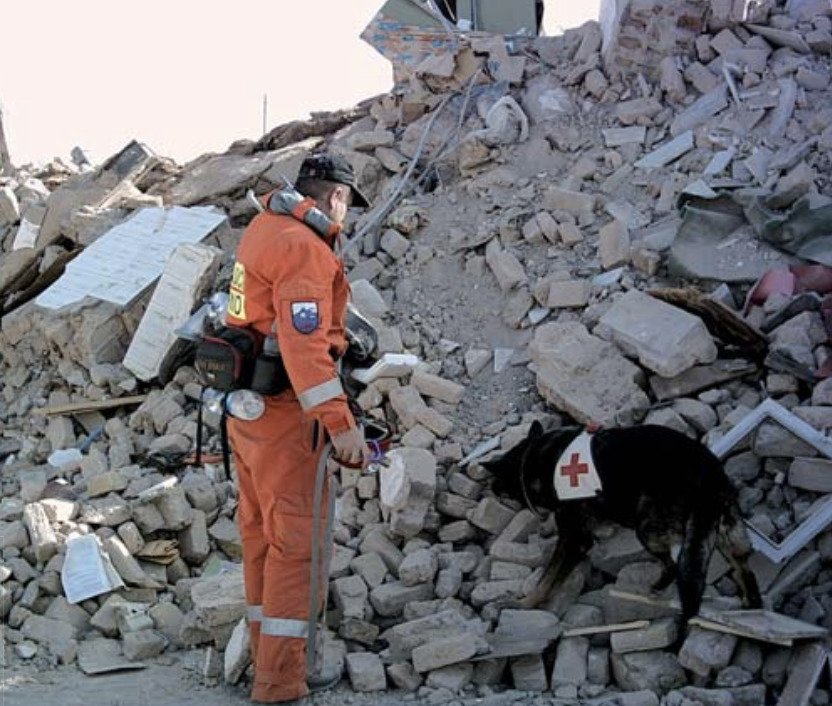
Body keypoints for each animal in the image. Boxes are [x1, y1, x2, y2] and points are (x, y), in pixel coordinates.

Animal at [480, 418, 760, 620]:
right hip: (728, 532)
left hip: (649, 530)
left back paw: (657, 588)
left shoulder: (574, 540)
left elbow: (546, 580)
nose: (490, 488)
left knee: (672, 566)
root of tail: (708, 475)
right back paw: (751, 603)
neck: (535, 459)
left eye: (500, 484)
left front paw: (525, 604)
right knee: (743, 567)